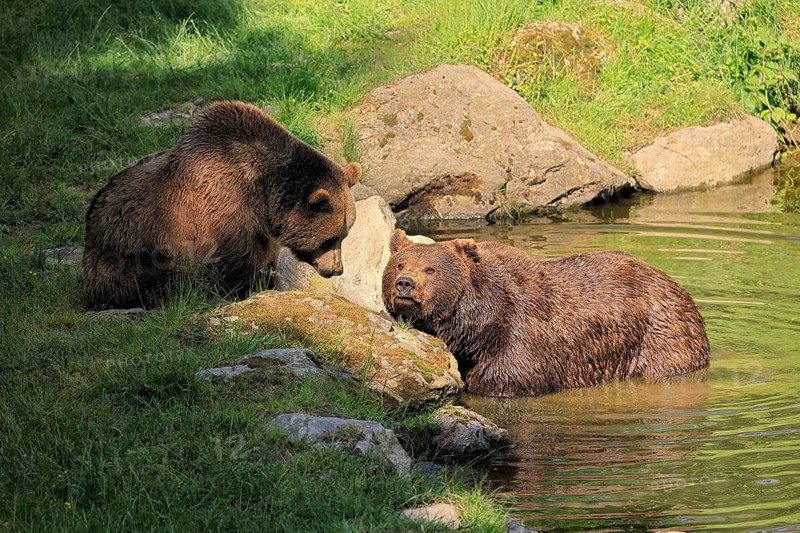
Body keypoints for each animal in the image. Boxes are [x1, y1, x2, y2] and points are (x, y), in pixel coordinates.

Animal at [84, 101, 361, 309]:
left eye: (344, 236)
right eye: (329, 239)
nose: (336, 269)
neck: (264, 195)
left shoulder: (263, 228)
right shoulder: (226, 209)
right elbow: (240, 263)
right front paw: (247, 291)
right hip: (130, 249)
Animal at [382, 230, 710, 397]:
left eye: (430, 269)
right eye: (400, 264)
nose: (405, 283)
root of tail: (674, 283)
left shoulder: (522, 332)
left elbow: (509, 378)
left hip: (661, 335)